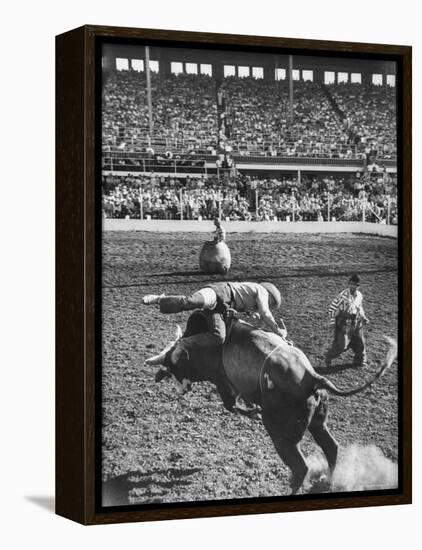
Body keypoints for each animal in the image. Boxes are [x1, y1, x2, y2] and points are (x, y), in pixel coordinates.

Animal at [147, 310, 398, 496]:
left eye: (173, 366)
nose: (181, 389)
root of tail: (312, 377)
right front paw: (252, 409)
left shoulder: (222, 382)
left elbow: (231, 404)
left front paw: (253, 411)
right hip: (318, 422)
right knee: (331, 447)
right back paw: (329, 480)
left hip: (282, 436)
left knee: (301, 466)